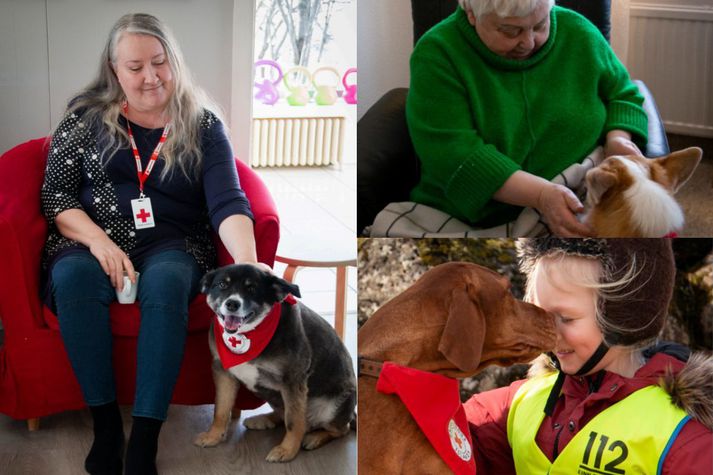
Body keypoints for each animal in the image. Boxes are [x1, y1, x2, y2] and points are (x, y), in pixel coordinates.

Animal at [193, 262, 354, 462]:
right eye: (222, 284)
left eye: (252, 288)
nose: (232, 303)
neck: (252, 332)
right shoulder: (222, 372)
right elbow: (221, 409)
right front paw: (213, 435)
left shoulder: (292, 381)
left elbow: (293, 421)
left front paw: (287, 450)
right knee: (284, 413)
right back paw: (263, 420)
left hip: (332, 406)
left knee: (340, 429)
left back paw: (314, 437)